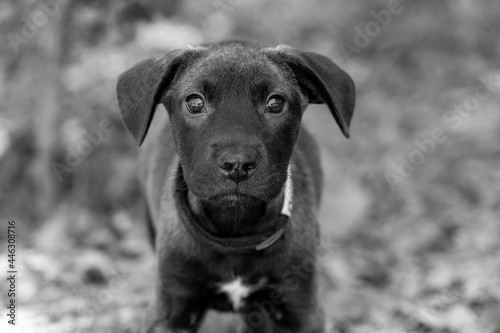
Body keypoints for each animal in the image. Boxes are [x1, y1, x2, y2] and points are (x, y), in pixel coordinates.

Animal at [116, 40, 354, 332]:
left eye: (275, 103)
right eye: (195, 102)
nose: (237, 164)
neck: (235, 231)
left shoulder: (300, 310)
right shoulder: (170, 312)